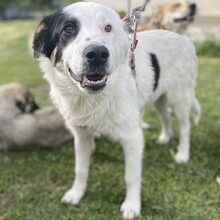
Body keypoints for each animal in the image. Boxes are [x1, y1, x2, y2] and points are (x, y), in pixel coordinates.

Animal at [33, 2, 201, 220]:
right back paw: (165, 137)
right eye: (68, 29)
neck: (95, 98)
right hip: (158, 96)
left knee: (185, 126)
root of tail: (184, 39)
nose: (97, 54)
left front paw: (132, 205)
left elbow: (131, 176)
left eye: (108, 28)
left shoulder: (132, 138)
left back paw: (182, 154)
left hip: (179, 96)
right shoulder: (81, 135)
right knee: (165, 116)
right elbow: (81, 169)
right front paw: (77, 193)